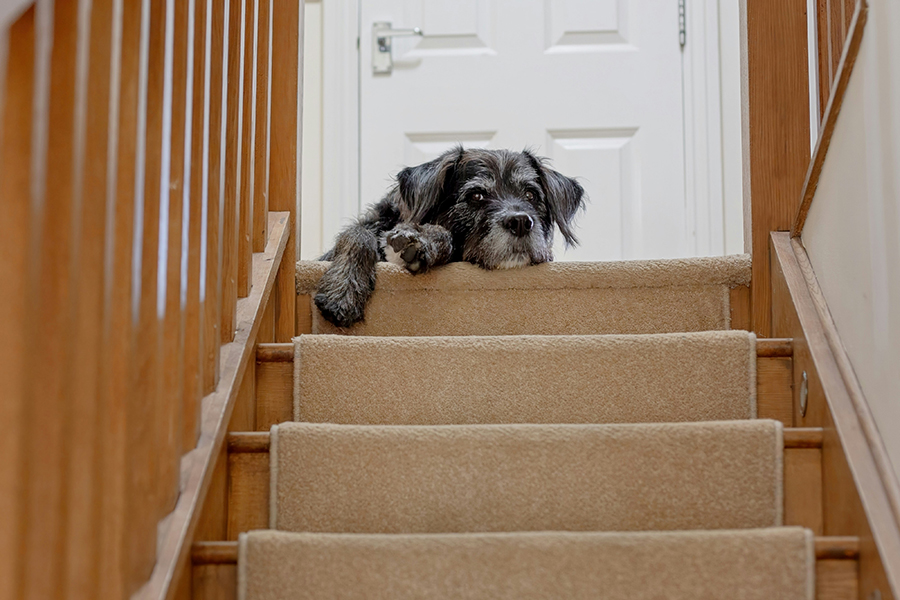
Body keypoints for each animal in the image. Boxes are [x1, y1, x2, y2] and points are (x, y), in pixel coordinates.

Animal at [312, 148, 588, 330]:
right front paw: (343, 289)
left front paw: (425, 240)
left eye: (531, 195)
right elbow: (357, 234)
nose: (520, 222)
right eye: (476, 196)